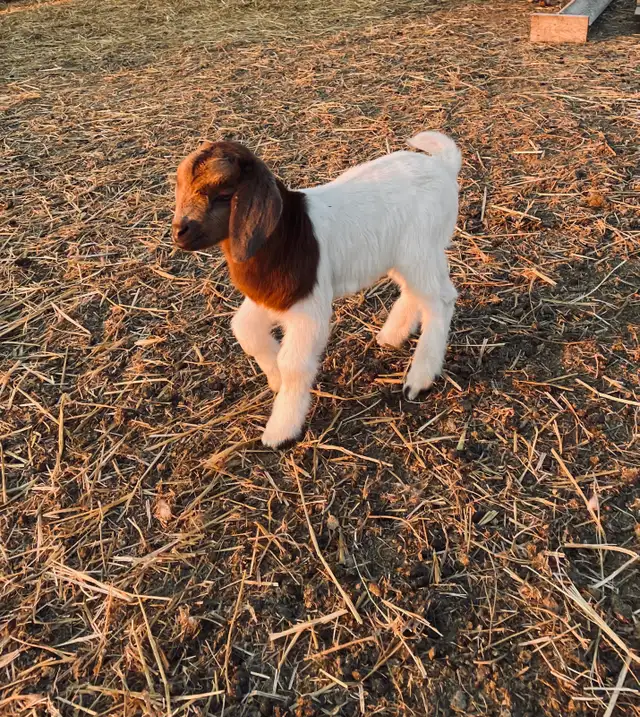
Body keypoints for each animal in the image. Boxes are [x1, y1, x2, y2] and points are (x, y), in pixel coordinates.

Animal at [172, 132, 460, 448]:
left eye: (225, 194)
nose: (178, 232)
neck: (288, 235)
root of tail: (444, 165)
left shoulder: (308, 307)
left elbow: (294, 363)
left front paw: (280, 430)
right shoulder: (272, 298)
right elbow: (244, 329)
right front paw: (275, 379)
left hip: (420, 248)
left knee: (441, 300)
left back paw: (419, 379)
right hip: (403, 256)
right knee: (415, 292)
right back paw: (392, 336)